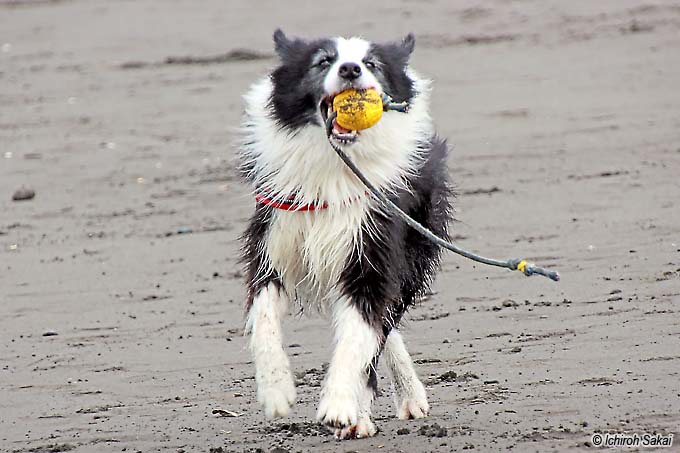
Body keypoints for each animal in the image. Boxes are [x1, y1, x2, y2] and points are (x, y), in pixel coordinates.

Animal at [238, 29, 452, 439]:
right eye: (323, 61)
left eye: (372, 64)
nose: (351, 69)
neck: (334, 167)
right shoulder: (272, 239)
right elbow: (264, 319)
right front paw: (276, 391)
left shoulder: (373, 247)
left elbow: (356, 339)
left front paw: (340, 406)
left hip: (413, 250)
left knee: (383, 325)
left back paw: (369, 412)